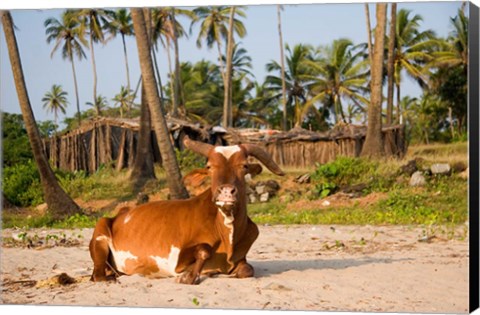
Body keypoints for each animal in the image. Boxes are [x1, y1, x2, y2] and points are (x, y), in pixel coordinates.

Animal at [89, 137, 284, 286]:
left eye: (244, 166)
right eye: (209, 167)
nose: (226, 192)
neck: (226, 230)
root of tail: (121, 213)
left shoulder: (241, 259)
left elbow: (247, 270)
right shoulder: (178, 258)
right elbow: (204, 250)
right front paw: (189, 276)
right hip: (100, 233)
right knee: (97, 275)